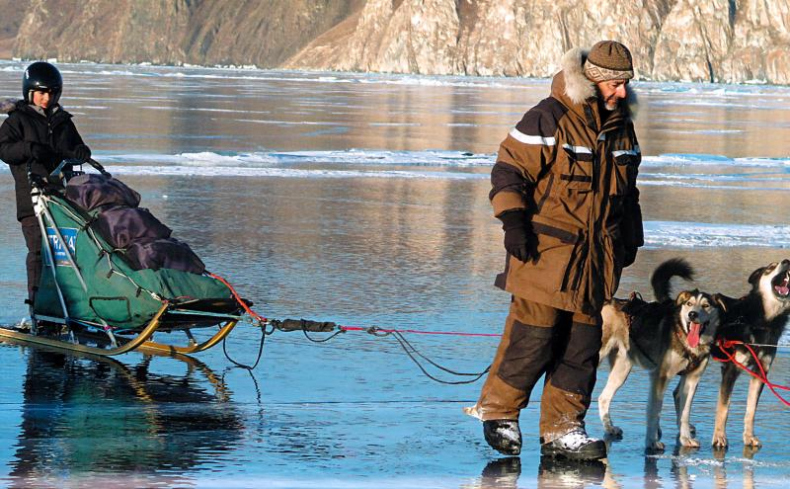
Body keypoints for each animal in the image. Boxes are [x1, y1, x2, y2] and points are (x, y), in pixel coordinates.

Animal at [600, 258, 724, 452]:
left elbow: (684, 413)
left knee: (603, 397)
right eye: (689, 304)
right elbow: (654, 411)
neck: (685, 341)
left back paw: (610, 428)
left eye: (706, 305)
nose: (692, 314)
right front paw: (651, 441)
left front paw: (685, 439)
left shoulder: (692, 379)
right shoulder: (660, 377)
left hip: (622, 370)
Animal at [712, 258, 790, 448]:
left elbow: (751, 409)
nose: (787, 261)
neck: (762, 322)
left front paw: (749, 436)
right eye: (771, 267)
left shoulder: (761, 372)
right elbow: (724, 407)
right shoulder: (731, 369)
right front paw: (719, 437)